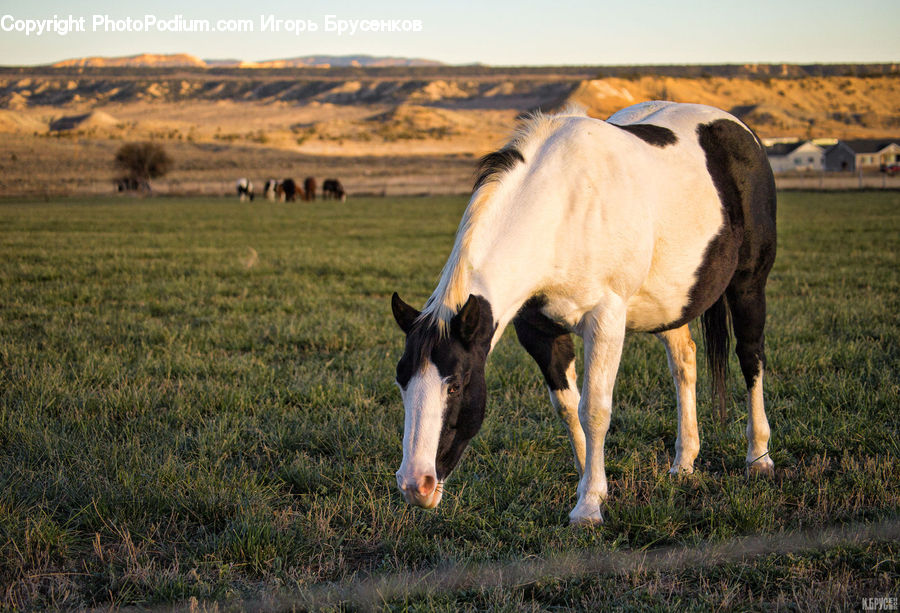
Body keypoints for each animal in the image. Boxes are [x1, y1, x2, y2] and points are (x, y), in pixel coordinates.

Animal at [390, 101, 777, 525]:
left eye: (456, 385)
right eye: (401, 382)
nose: (415, 485)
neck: (565, 207)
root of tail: (740, 130)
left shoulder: (606, 319)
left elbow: (594, 410)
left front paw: (589, 505)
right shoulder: (538, 331)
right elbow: (568, 408)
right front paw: (590, 484)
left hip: (748, 284)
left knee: (751, 357)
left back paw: (758, 457)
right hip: (669, 303)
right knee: (684, 363)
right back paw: (684, 462)